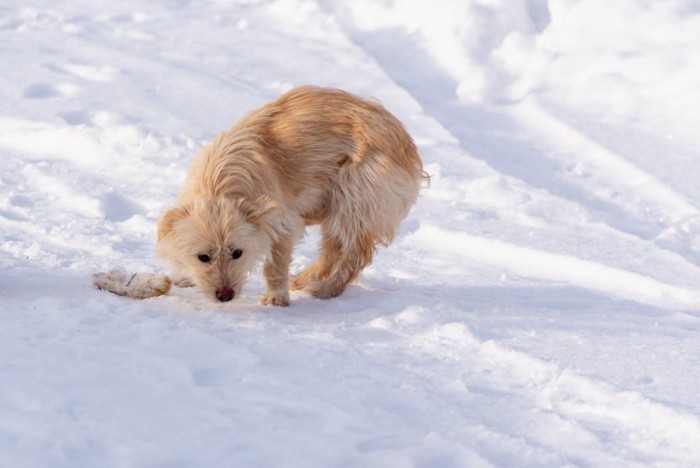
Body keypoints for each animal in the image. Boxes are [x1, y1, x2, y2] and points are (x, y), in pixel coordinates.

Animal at [155, 86, 424, 308]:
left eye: (237, 253)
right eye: (203, 257)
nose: (225, 296)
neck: (217, 182)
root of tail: (402, 136)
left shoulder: (282, 221)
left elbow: (275, 263)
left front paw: (277, 297)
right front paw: (186, 277)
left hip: (353, 199)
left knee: (355, 254)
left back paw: (326, 289)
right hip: (334, 206)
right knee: (332, 250)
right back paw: (304, 280)